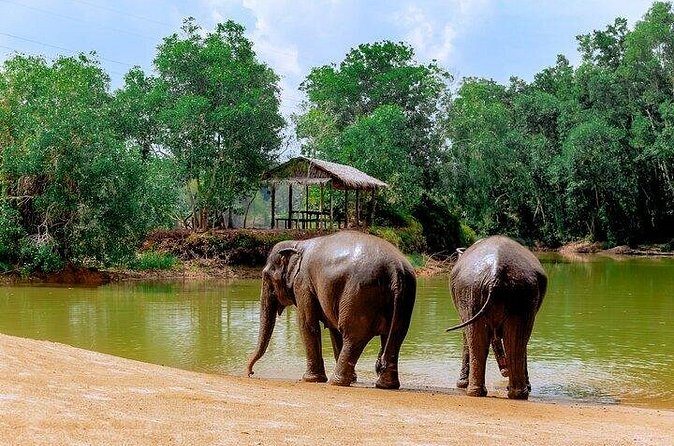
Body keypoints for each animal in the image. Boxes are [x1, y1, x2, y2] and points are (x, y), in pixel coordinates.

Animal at [246, 230, 417, 389]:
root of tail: (395, 269)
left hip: (359, 294)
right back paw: (385, 385)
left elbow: (307, 324)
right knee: (395, 336)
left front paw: (310, 379)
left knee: (353, 335)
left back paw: (337, 382)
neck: (297, 244)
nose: (250, 373)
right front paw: (353, 379)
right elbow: (334, 331)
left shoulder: (303, 284)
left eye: (266, 276)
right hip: (403, 298)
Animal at [446, 236, 547, 400]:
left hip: (488, 293)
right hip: (510, 293)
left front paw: (461, 384)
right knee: (513, 340)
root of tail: (496, 271)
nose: (504, 371)